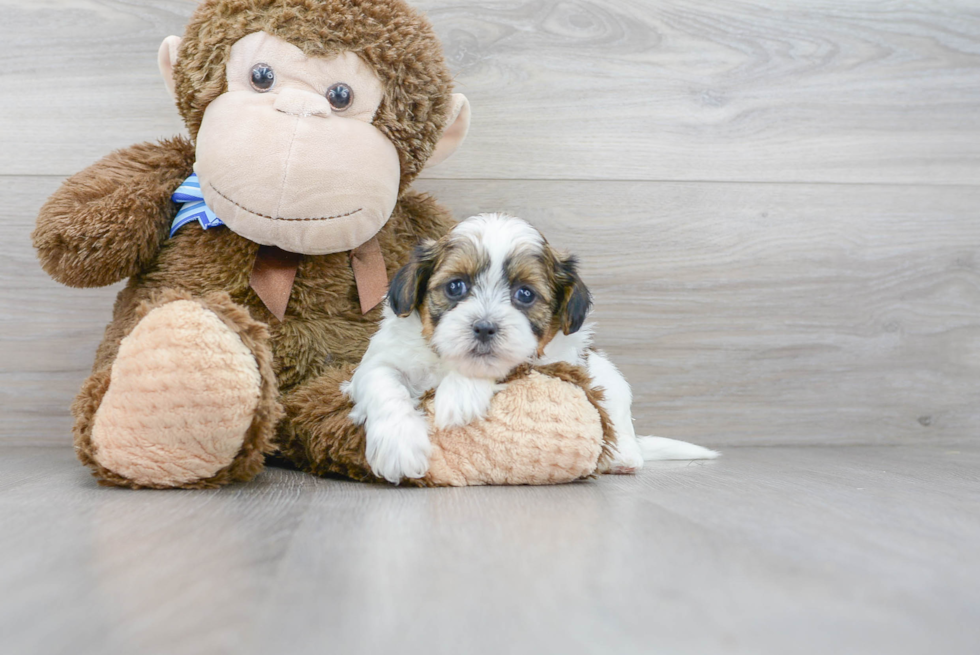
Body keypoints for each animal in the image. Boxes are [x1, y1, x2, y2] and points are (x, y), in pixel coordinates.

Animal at [340, 213, 716, 484]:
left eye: (525, 294)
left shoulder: (551, 357)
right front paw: (399, 446)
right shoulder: (381, 359)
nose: (485, 327)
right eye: (455, 286)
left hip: (609, 381)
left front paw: (459, 396)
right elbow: (382, 383)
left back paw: (622, 457)